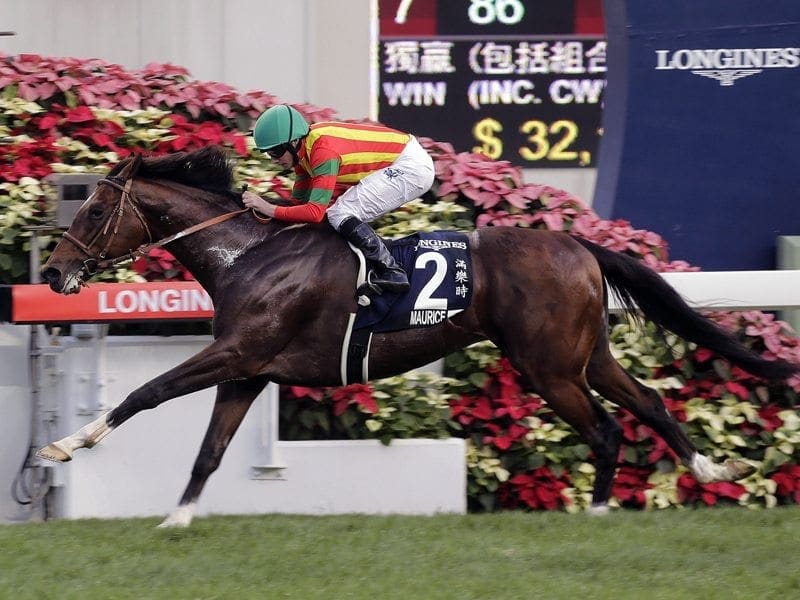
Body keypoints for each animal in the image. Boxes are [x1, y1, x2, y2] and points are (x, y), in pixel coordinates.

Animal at [37, 145, 800, 524]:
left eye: (96, 207)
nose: (53, 271)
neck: (247, 256)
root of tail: (578, 245)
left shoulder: (236, 352)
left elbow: (145, 392)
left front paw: (65, 445)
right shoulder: (248, 372)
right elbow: (208, 452)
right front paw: (178, 521)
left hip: (548, 368)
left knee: (609, 428)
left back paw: (599, 513)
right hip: (584, 355)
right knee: (649, 401)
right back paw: (709, 470)